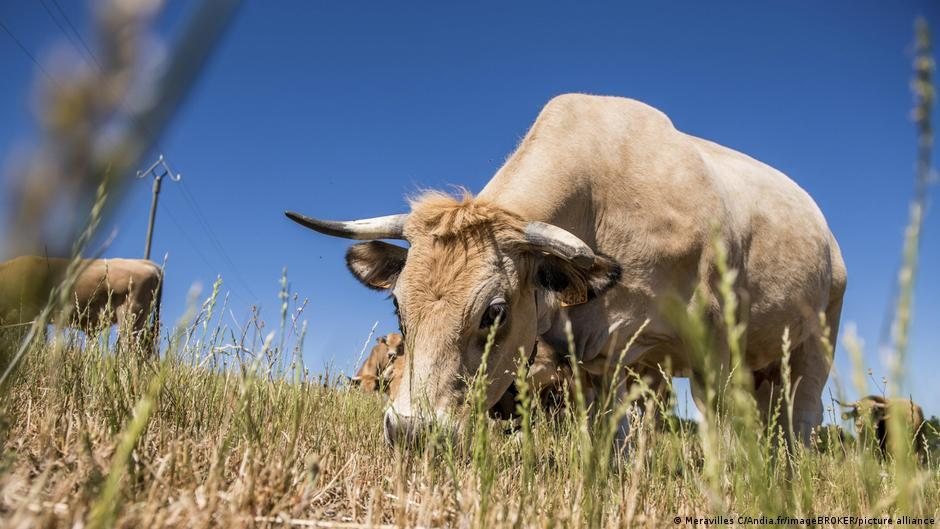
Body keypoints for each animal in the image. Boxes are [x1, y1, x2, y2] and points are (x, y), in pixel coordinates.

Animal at [286, 94, 847, 446]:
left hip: (815, 345)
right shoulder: (597, 362)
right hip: (758, 365)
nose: (409, 431)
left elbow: (716, 439)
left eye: (494, 312)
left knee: (802, 421)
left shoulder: (706, 348)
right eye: (398, 307)